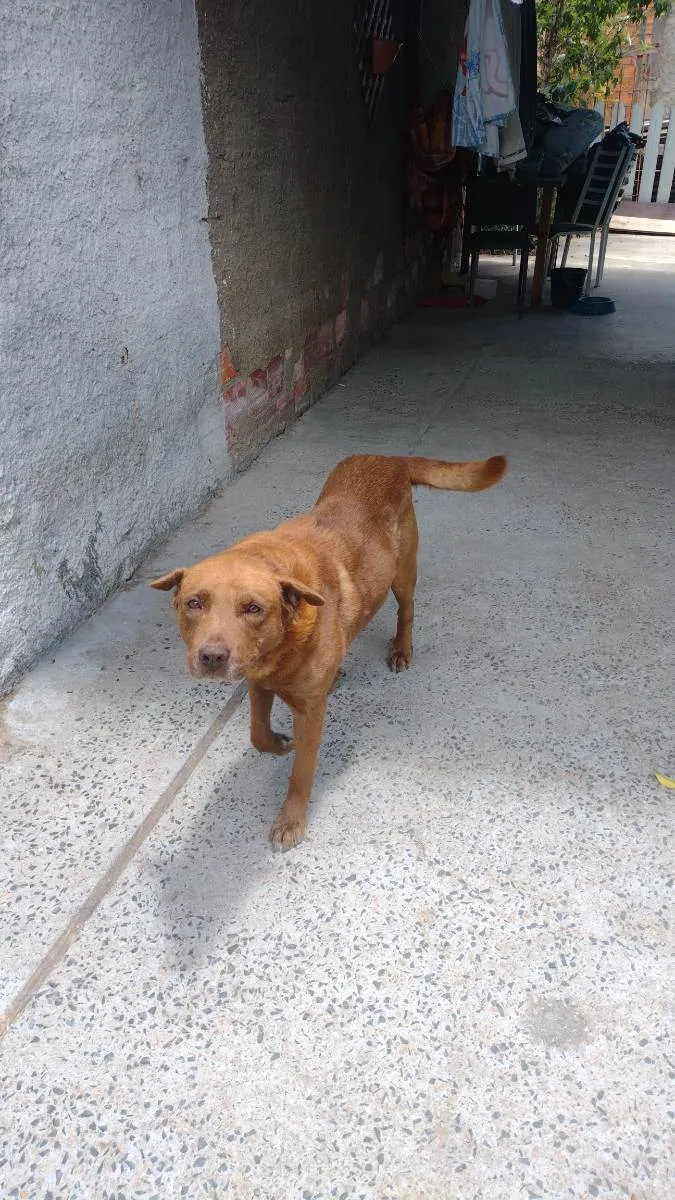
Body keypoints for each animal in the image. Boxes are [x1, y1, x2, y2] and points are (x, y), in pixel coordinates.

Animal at [149, 453, 502, 849]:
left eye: (253, 608)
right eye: (194, 603)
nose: (211, 657)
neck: (284, 641)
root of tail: (390, 457)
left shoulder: (310, 712)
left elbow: (301, 772)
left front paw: (291, 819)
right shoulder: (257, 682)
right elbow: (257, 735)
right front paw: (277, 743)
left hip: (402, 574)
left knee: (407, 610)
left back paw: (401, 649)